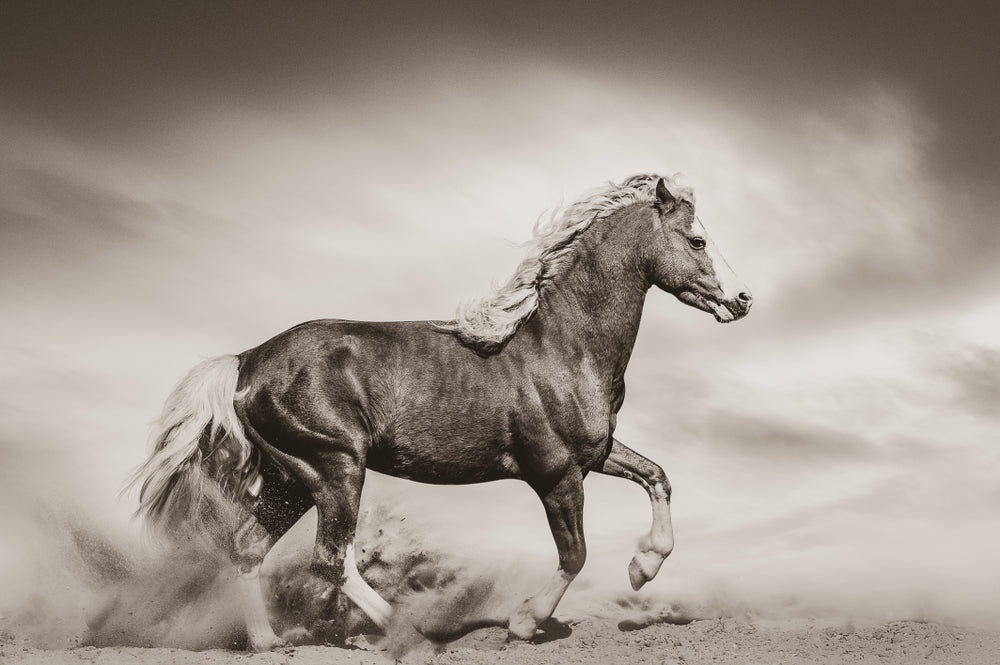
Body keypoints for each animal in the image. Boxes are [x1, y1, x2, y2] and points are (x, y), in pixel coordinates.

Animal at [127, 172, 752, 648]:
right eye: (697, 240)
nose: (743, 299)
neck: (563, 345)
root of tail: (246, 360)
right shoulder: (555, 472)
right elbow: (574, 555)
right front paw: (524, 622)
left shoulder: (595, 455)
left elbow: (658, 477)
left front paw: (643, 567)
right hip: (335, 469)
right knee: (332, 558)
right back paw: (405, 634)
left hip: (293, 480)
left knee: (249, 548)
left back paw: (268, 642)